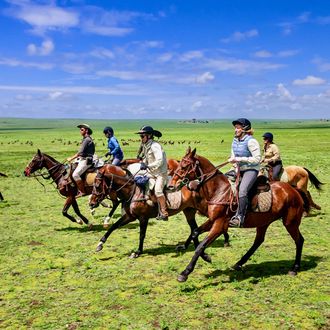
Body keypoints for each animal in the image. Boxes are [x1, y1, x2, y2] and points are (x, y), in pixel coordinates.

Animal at [88, 164, 229, 260]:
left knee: (217, 221)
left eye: (97, 185)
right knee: (194, 228)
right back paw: (186, 246)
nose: (91, 203)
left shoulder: (143, 218)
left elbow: (142, 235)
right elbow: (113, 226)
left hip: (204, 209)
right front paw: (100, 244)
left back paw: (226, 238)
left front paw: (137, 252)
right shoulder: (130, 216)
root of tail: (198, 183)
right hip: (188, 211)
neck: (133, 191)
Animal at [170, 147, 310, 282]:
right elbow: (195, 233)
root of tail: (294, 190)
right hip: (263, 222)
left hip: (290, 222)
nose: (171, 185)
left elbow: (201, 245)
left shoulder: (219, 224)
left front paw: (185, 273)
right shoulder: (213, 220)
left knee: (299, 240)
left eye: (184, 166)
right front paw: (206, 257)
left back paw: (295, 268)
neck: (219, 190)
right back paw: (239, 263)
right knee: (258, 241)